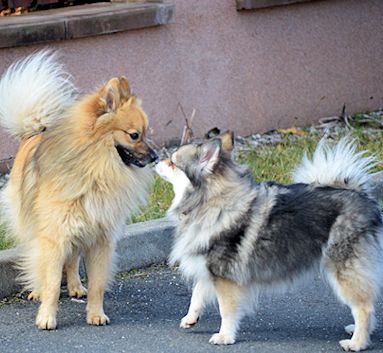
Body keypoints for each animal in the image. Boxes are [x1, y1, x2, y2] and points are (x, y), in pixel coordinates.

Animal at [0, 51, 158, 328]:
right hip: (35, 225)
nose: (156, 156)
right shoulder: (55, 235)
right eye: (134, 135)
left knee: (72, 260)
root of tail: (33, 132)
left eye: (145, 133)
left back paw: (75, 286)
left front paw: (95, 314)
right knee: (36, 256)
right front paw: (47, 316)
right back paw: (38, 290)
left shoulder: (99, 238)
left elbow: (97, 284)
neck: (96, 168)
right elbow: (52, 283)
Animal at [156, 132, 383, 350]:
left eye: (173, 162)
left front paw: (225, 336)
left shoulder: (225, 277)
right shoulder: (211, 268)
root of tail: (362, 196)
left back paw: (357, 342)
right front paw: (190, 318)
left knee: (364, 307)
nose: (156, 159)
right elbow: (197, 293)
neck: (213, 203)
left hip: (343, 270)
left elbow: (226, 310)